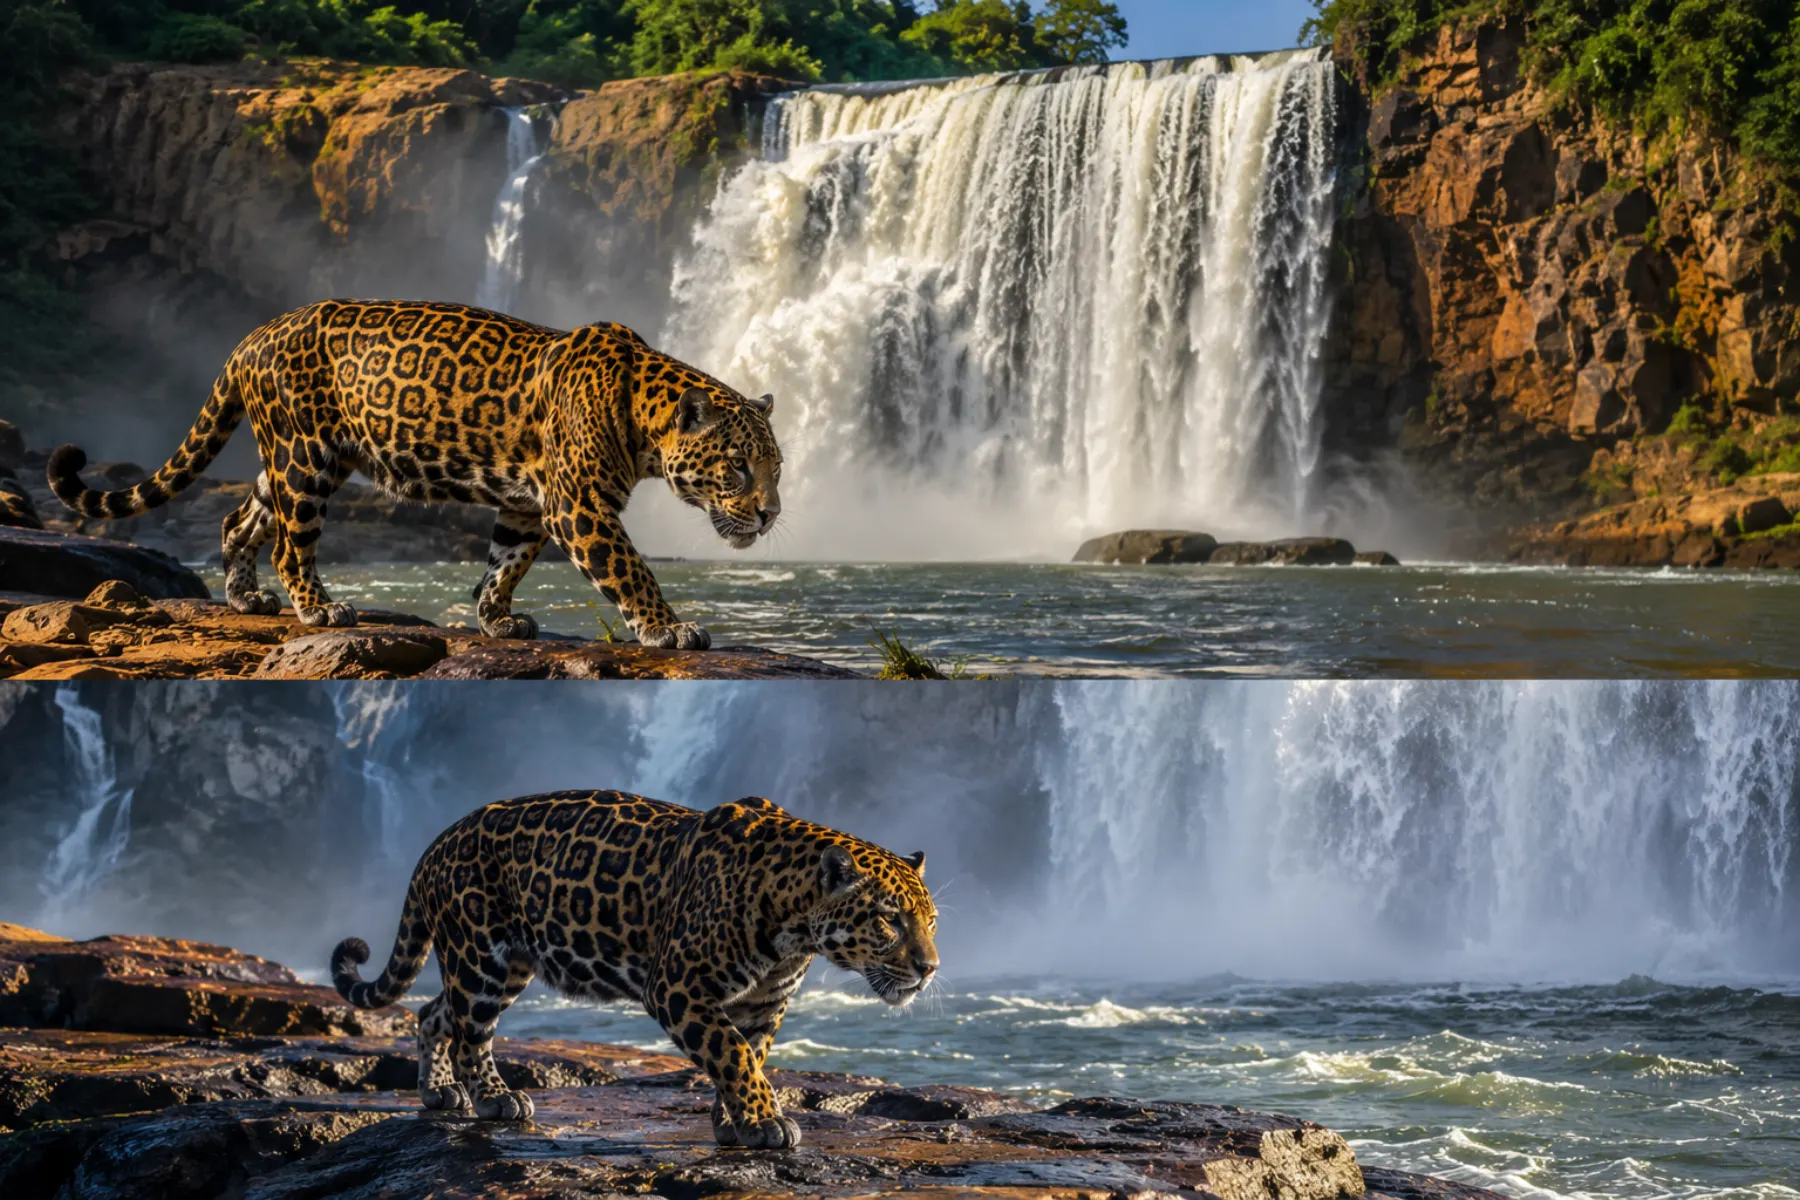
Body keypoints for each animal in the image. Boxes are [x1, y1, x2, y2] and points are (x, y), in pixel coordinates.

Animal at [46, 300, 783, 650]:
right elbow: (632, 570)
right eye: (739, 465)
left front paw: (495, 620)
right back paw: (318, 608)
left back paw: (245, 597)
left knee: (240, 516)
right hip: (306, 457)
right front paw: (669, 628)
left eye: (777, 468)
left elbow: (505, 561)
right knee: (291, 543)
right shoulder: (579, 507)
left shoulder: (528, 504)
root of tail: (251, 338)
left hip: (289, 458)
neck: (643, 418)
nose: (772, 513)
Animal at [330, 790, 938, 1148]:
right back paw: (494, 1098)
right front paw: (764, 1122)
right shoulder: (677, 986)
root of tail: (437, 841)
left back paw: (438, 1092)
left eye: (931, 920)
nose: (930, 967)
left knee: (435, 1013)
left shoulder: (764, 1003)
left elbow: (751, 1054)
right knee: (469, 1035)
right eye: (889, 920)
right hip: (480, 955)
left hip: (505, 964)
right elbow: (733, 1053)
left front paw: (735, 1121)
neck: (795, 924)